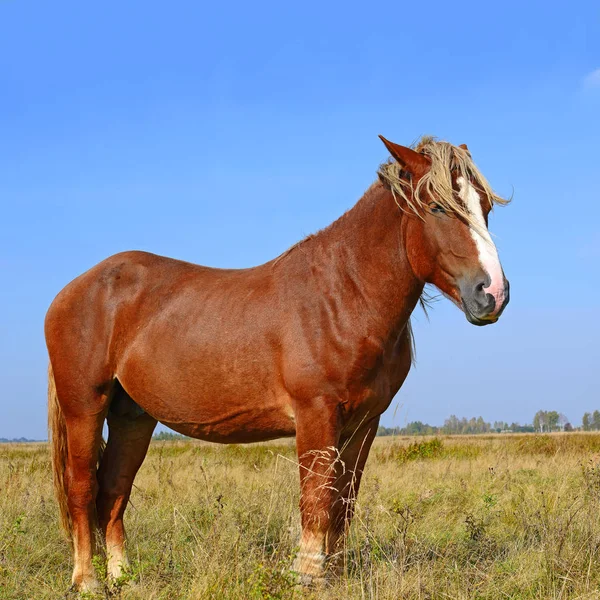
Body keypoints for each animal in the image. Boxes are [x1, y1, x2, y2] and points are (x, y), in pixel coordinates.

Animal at [44, 135, 508, 592]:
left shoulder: (364, 423)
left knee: (113, 491)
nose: (493, 293)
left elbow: (343, 502)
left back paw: (122, 577)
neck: (343, 294)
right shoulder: (316, 414)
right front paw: (307, 574)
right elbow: (316, 499)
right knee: (83, 489)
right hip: (85, 407)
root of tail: (72, 291)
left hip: (133, 416)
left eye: (485, 206)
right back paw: (87, 581)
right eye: (437, 206)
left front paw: (335, 575)